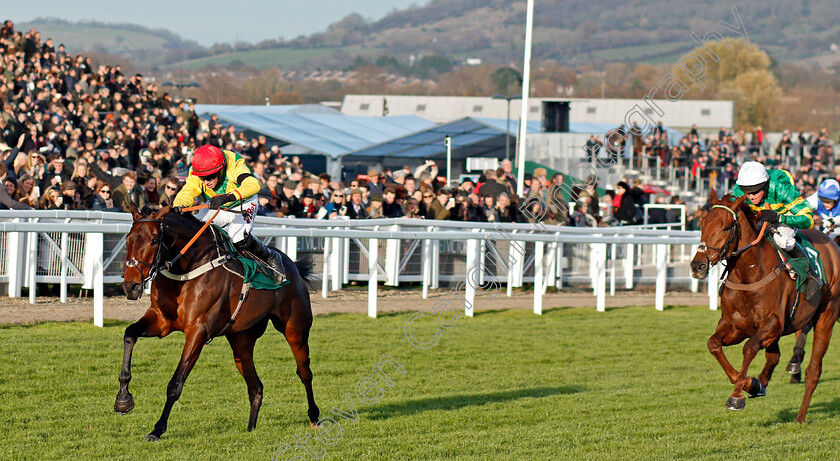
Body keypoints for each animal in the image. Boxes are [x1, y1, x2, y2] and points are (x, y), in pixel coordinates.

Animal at [115, 204, 318, 438]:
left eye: (154, 240)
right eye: (128, 239)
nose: (131, 286)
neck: (187, 269)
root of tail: (292, 266)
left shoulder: (198, 330)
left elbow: (175, 384)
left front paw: (157, 429)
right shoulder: (161, 321)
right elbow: (129, 334)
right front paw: (123, 399)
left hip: (296, 330)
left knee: (304, 373)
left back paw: (314, 417)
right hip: (241, 341)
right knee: (256, 386)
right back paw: (250, 428)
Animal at [688, 190, 840, 420]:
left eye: (726, 226)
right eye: (703, 223)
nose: (698, 266)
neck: (748, 275)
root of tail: (831, 243)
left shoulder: (773, 323)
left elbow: (750, 348)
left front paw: (737, 397)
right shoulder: (736, 326)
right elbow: (713, 344)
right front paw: (752, 384)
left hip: (826, 318)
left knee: (814, 370)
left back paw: (800, 417)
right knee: (774, 356)